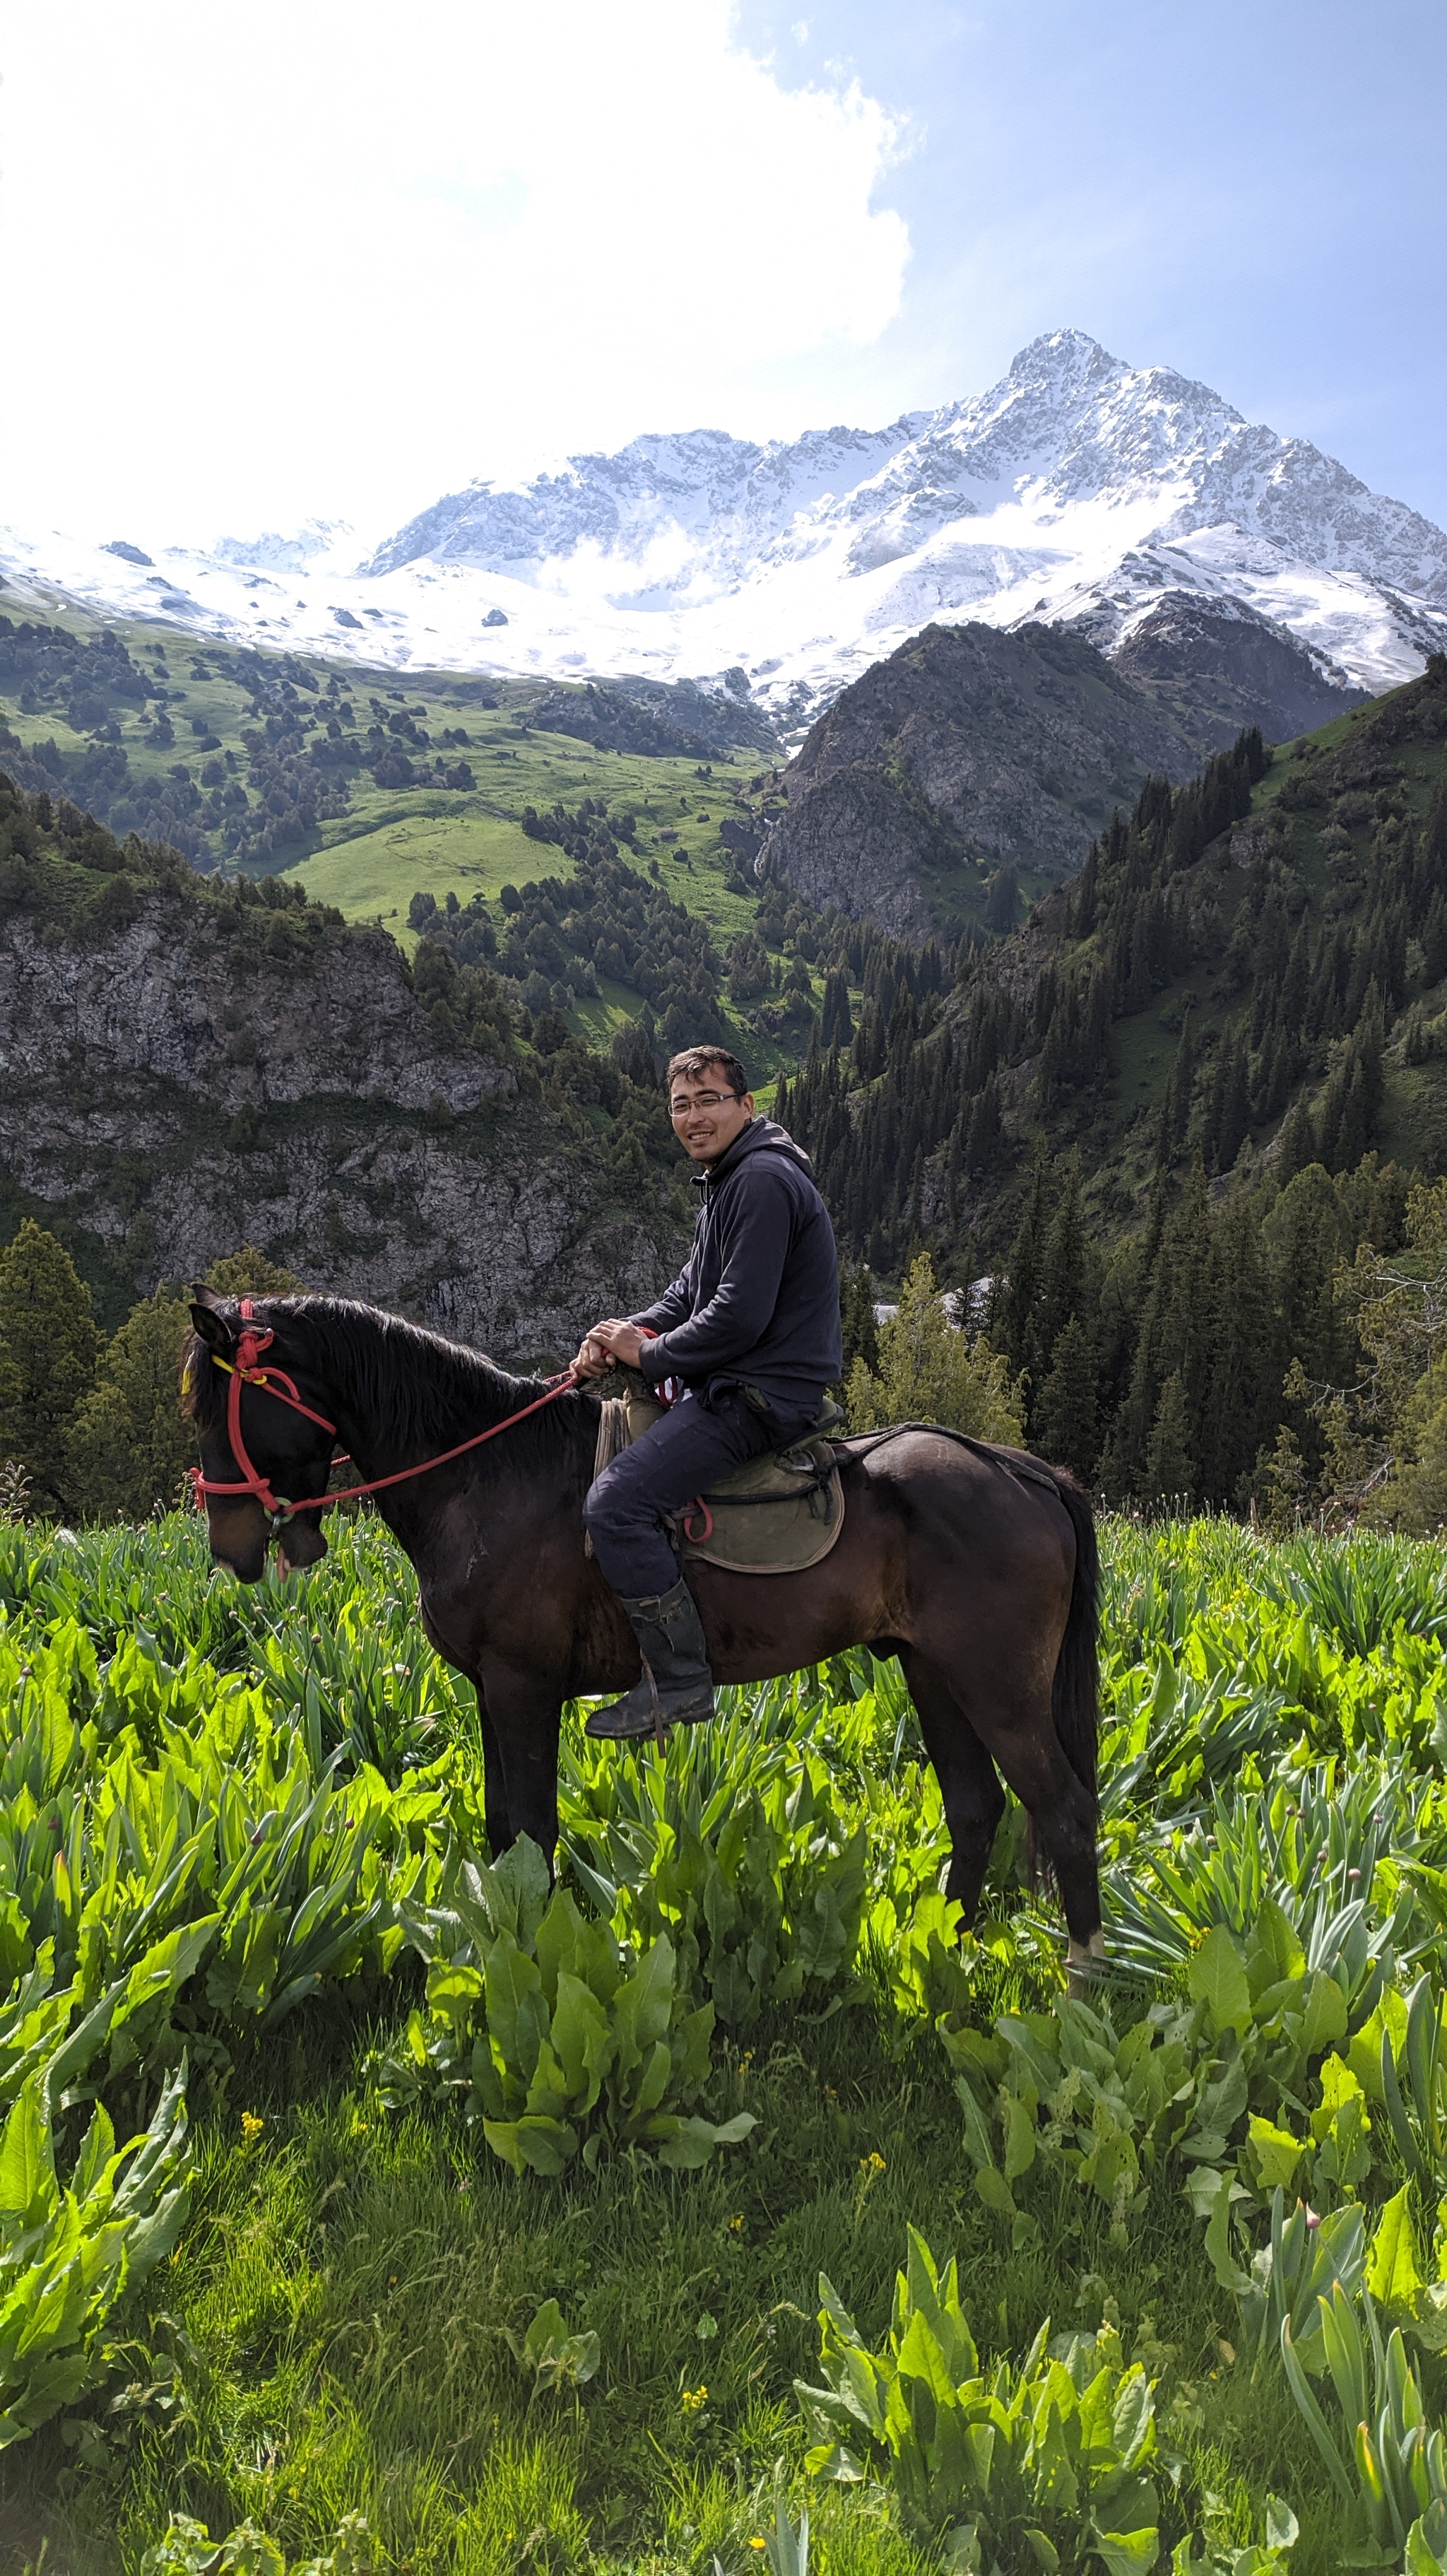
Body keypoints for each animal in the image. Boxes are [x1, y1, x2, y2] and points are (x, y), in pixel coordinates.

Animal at [185, 1298, 1097, 1958]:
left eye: (211, 1407)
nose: (225, 1549)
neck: (486, 1476)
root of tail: (1022, 1472)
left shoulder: (523, 1687)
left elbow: (533, 1829)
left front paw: (535, 1951)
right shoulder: (490, 1691)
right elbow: (503, 1830)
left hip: (998, 1685)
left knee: (1062, 1809)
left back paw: (1079, 1975)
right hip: (932, 1671)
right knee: (975, 1807)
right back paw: (944, 1950)